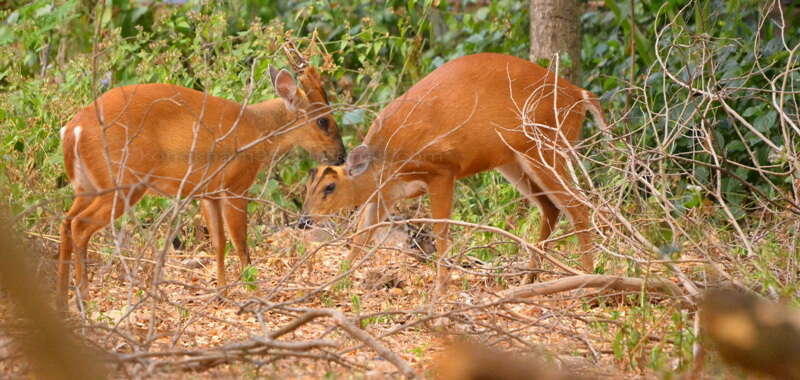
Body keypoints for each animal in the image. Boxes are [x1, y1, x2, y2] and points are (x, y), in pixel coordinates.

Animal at [56, 60, 344, 308]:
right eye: (323, 121)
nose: (341, 155)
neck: (257, 130)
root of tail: (73, 130)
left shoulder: (208, 193)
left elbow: (219, 243)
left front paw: (221, 293)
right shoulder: (236, 185)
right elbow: (241, 242)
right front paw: (257, 293)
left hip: (87, 185)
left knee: (66, 222)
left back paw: (63, 299)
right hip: (123, 183)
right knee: (80, 225)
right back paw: (83, 298)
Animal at [300, 52, 608, 290]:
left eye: (330, 187)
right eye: (307, 186)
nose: (304, 220)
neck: (387, 159)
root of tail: (579, 95)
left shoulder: (442, 171)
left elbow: (441, 233)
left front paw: (441, 286)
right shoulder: (386, 193)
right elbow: (361, 236)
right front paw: (334, 282)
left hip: (546, 145)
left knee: (578, 205)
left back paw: (587, 280)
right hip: (512, 159)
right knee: (551, 207)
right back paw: (529, 280)